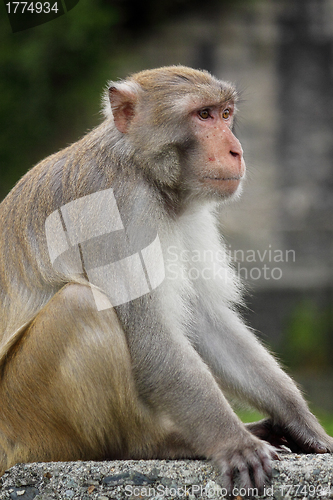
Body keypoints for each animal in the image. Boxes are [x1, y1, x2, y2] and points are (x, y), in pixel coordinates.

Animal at [0, 65, 330, 492]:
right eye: (203, 115)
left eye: (225, 114)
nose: (236, 151)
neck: (144, 171)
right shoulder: (120, 208)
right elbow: (153, 340)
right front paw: (234, 443)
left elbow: (206, 323)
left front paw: (302, 422)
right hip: (26, 413)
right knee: (82, 304)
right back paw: (158, 442)